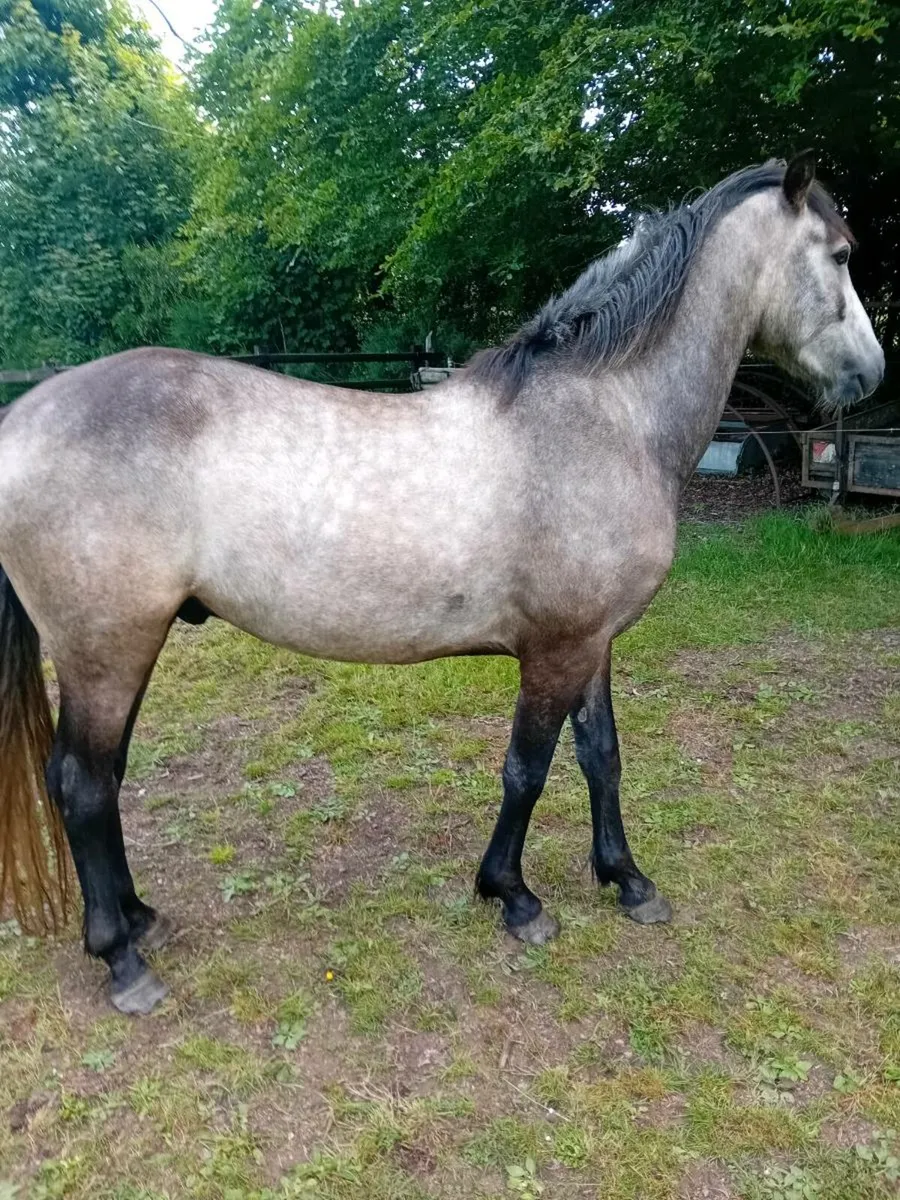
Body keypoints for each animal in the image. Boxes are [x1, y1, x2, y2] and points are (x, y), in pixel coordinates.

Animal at [0, 154, 883, 1015]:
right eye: (841, 256)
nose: (870, 375)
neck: (607, 418)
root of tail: (23, 419)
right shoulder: (556, 650)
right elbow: (527, 768)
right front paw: (514, 897)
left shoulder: (593, 642)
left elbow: (601, 756)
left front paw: (627, 881)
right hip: (106, 650)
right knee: (81, 784)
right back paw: (122, 960)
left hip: (126, 649)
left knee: (103, 777)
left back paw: (141, 917)